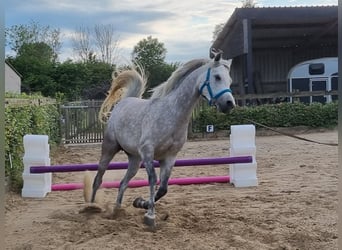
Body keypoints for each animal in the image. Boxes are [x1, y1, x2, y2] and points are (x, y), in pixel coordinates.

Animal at [91, 50, 235, 229]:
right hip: (109, 148)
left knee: (123, 183)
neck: (171, 114)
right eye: (217, 77)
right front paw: (150, 216)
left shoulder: (169, 157)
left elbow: (163, 188)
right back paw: (90, 207)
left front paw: (141, 203)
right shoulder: (148, 152)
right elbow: (152, 180)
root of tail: (123, 102)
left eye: (230, 80)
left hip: (134, 159)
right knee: (98, 178)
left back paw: (117, 211)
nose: (229, 104)